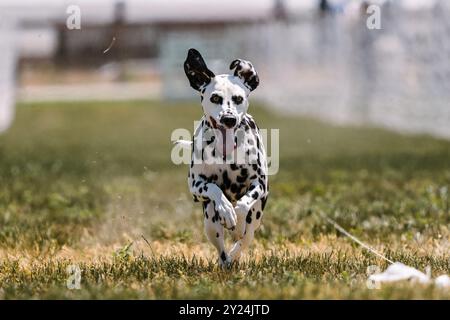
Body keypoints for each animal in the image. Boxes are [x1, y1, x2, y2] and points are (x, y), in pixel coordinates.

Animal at [184, 48, 268, 268]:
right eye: (215, 98)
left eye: (238, 98)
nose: (228, 119)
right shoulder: (195, 186)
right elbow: (214, 188)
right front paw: (226, 210)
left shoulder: (260, 184)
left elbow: (243, 205)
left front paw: (237, 223)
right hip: (210, 224)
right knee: (221, 248)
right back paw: (226, 262)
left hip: (257, 216)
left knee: (246, 238)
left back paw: (236, 249)